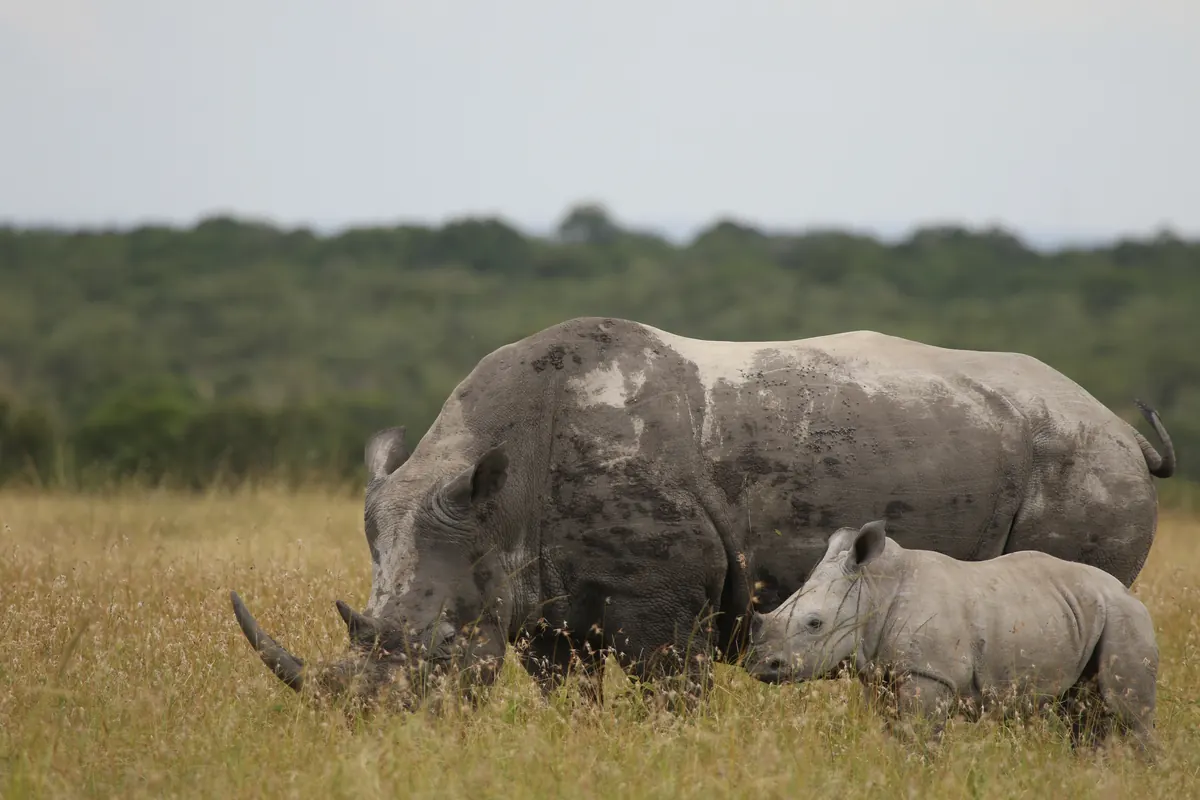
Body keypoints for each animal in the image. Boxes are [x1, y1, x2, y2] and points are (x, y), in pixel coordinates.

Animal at [229, 316, 1175, 709]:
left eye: (444, 648)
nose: (371, 724)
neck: (501, 492)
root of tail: (1121, 426)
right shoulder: (542, 611)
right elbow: (570, 700)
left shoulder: (662, 610)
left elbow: (667, 697)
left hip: (1085, 461)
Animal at [744, 519, 1159, 756]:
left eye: (814, 624)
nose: (760, 666)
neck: (874, 588)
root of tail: (1127, 591)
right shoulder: (881, 673)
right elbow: (896, 732)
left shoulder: (930, 672)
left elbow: (920, 736)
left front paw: (920, 772)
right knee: (1084, 714)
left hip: (1125, 617)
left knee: (1128, 713)